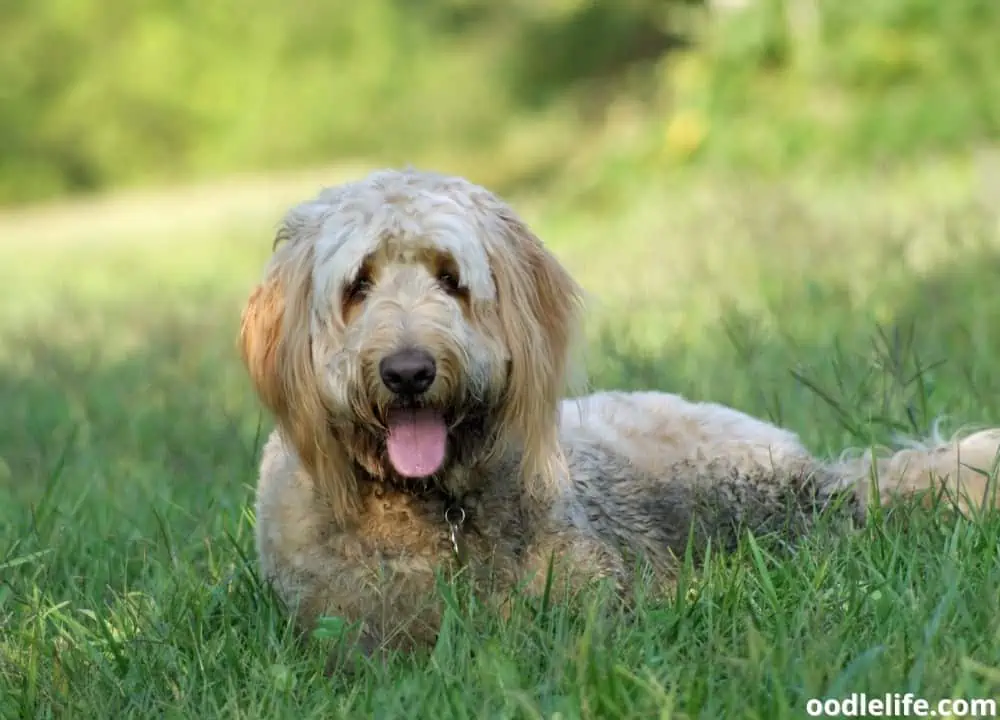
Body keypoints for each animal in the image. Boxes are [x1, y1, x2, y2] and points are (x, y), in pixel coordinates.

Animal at [240, 166, 1000, 660]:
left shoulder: (587, 598)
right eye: (358, 285)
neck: (433, 507)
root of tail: (810, 465)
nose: (407, 372)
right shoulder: (352, 631)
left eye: (451, 279)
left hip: (749, 496)